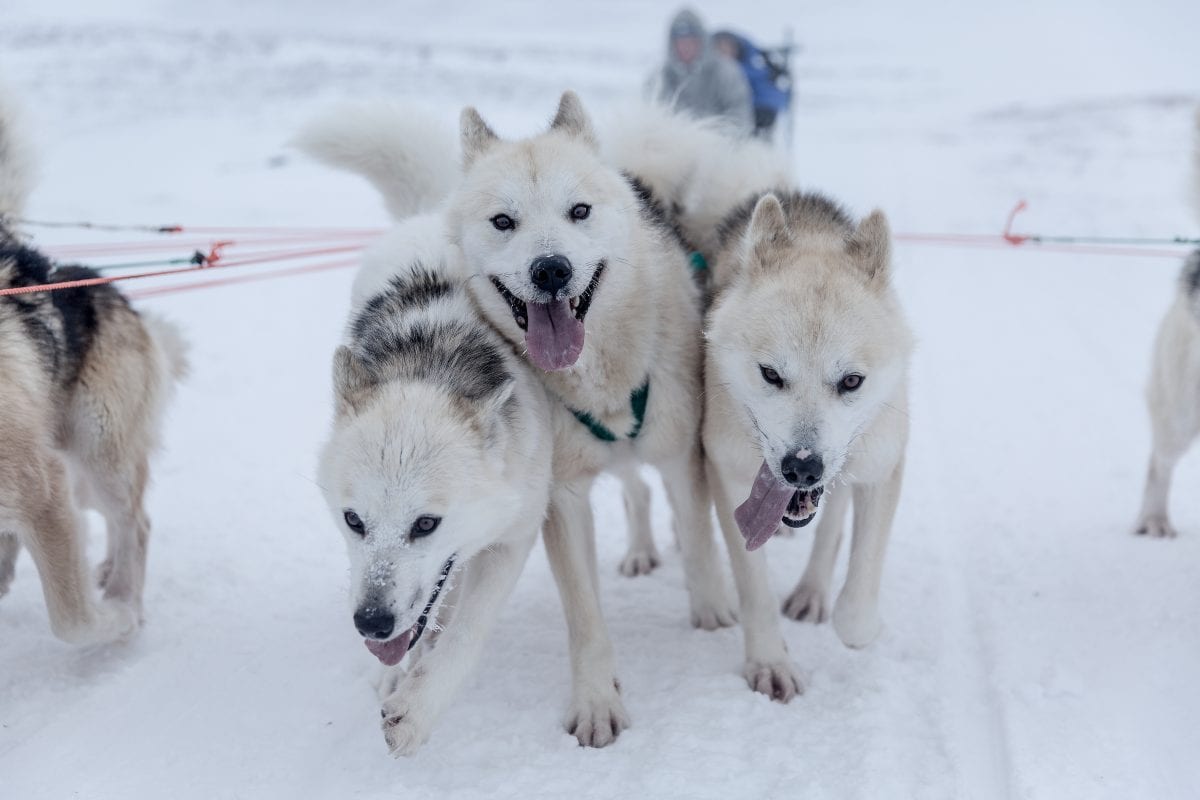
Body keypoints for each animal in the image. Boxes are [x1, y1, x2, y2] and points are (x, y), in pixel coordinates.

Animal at [0, 92, 187, 642]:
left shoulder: (44, 490)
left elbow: (74, 620)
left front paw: (117, 616)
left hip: (97, 451)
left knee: (135, 523)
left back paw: (125, 593)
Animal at [700, 190, 907, 695]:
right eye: (771, 374)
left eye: (851, 380)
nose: (802, 467)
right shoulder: (727, 474)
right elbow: (754, 589)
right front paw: (769, 661)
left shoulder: (880, 468)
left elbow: (855, 613)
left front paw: (863, 626)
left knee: (832, 524)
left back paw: (812, 592)